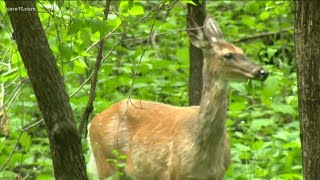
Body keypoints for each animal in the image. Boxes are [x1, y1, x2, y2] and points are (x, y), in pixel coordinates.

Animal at [87, 16, 268, 179]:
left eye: (241, 51)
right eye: (228, 55)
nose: (262, 71)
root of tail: (91, 124)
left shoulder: (219, 174)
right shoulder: (175, 172)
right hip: (106, 162)